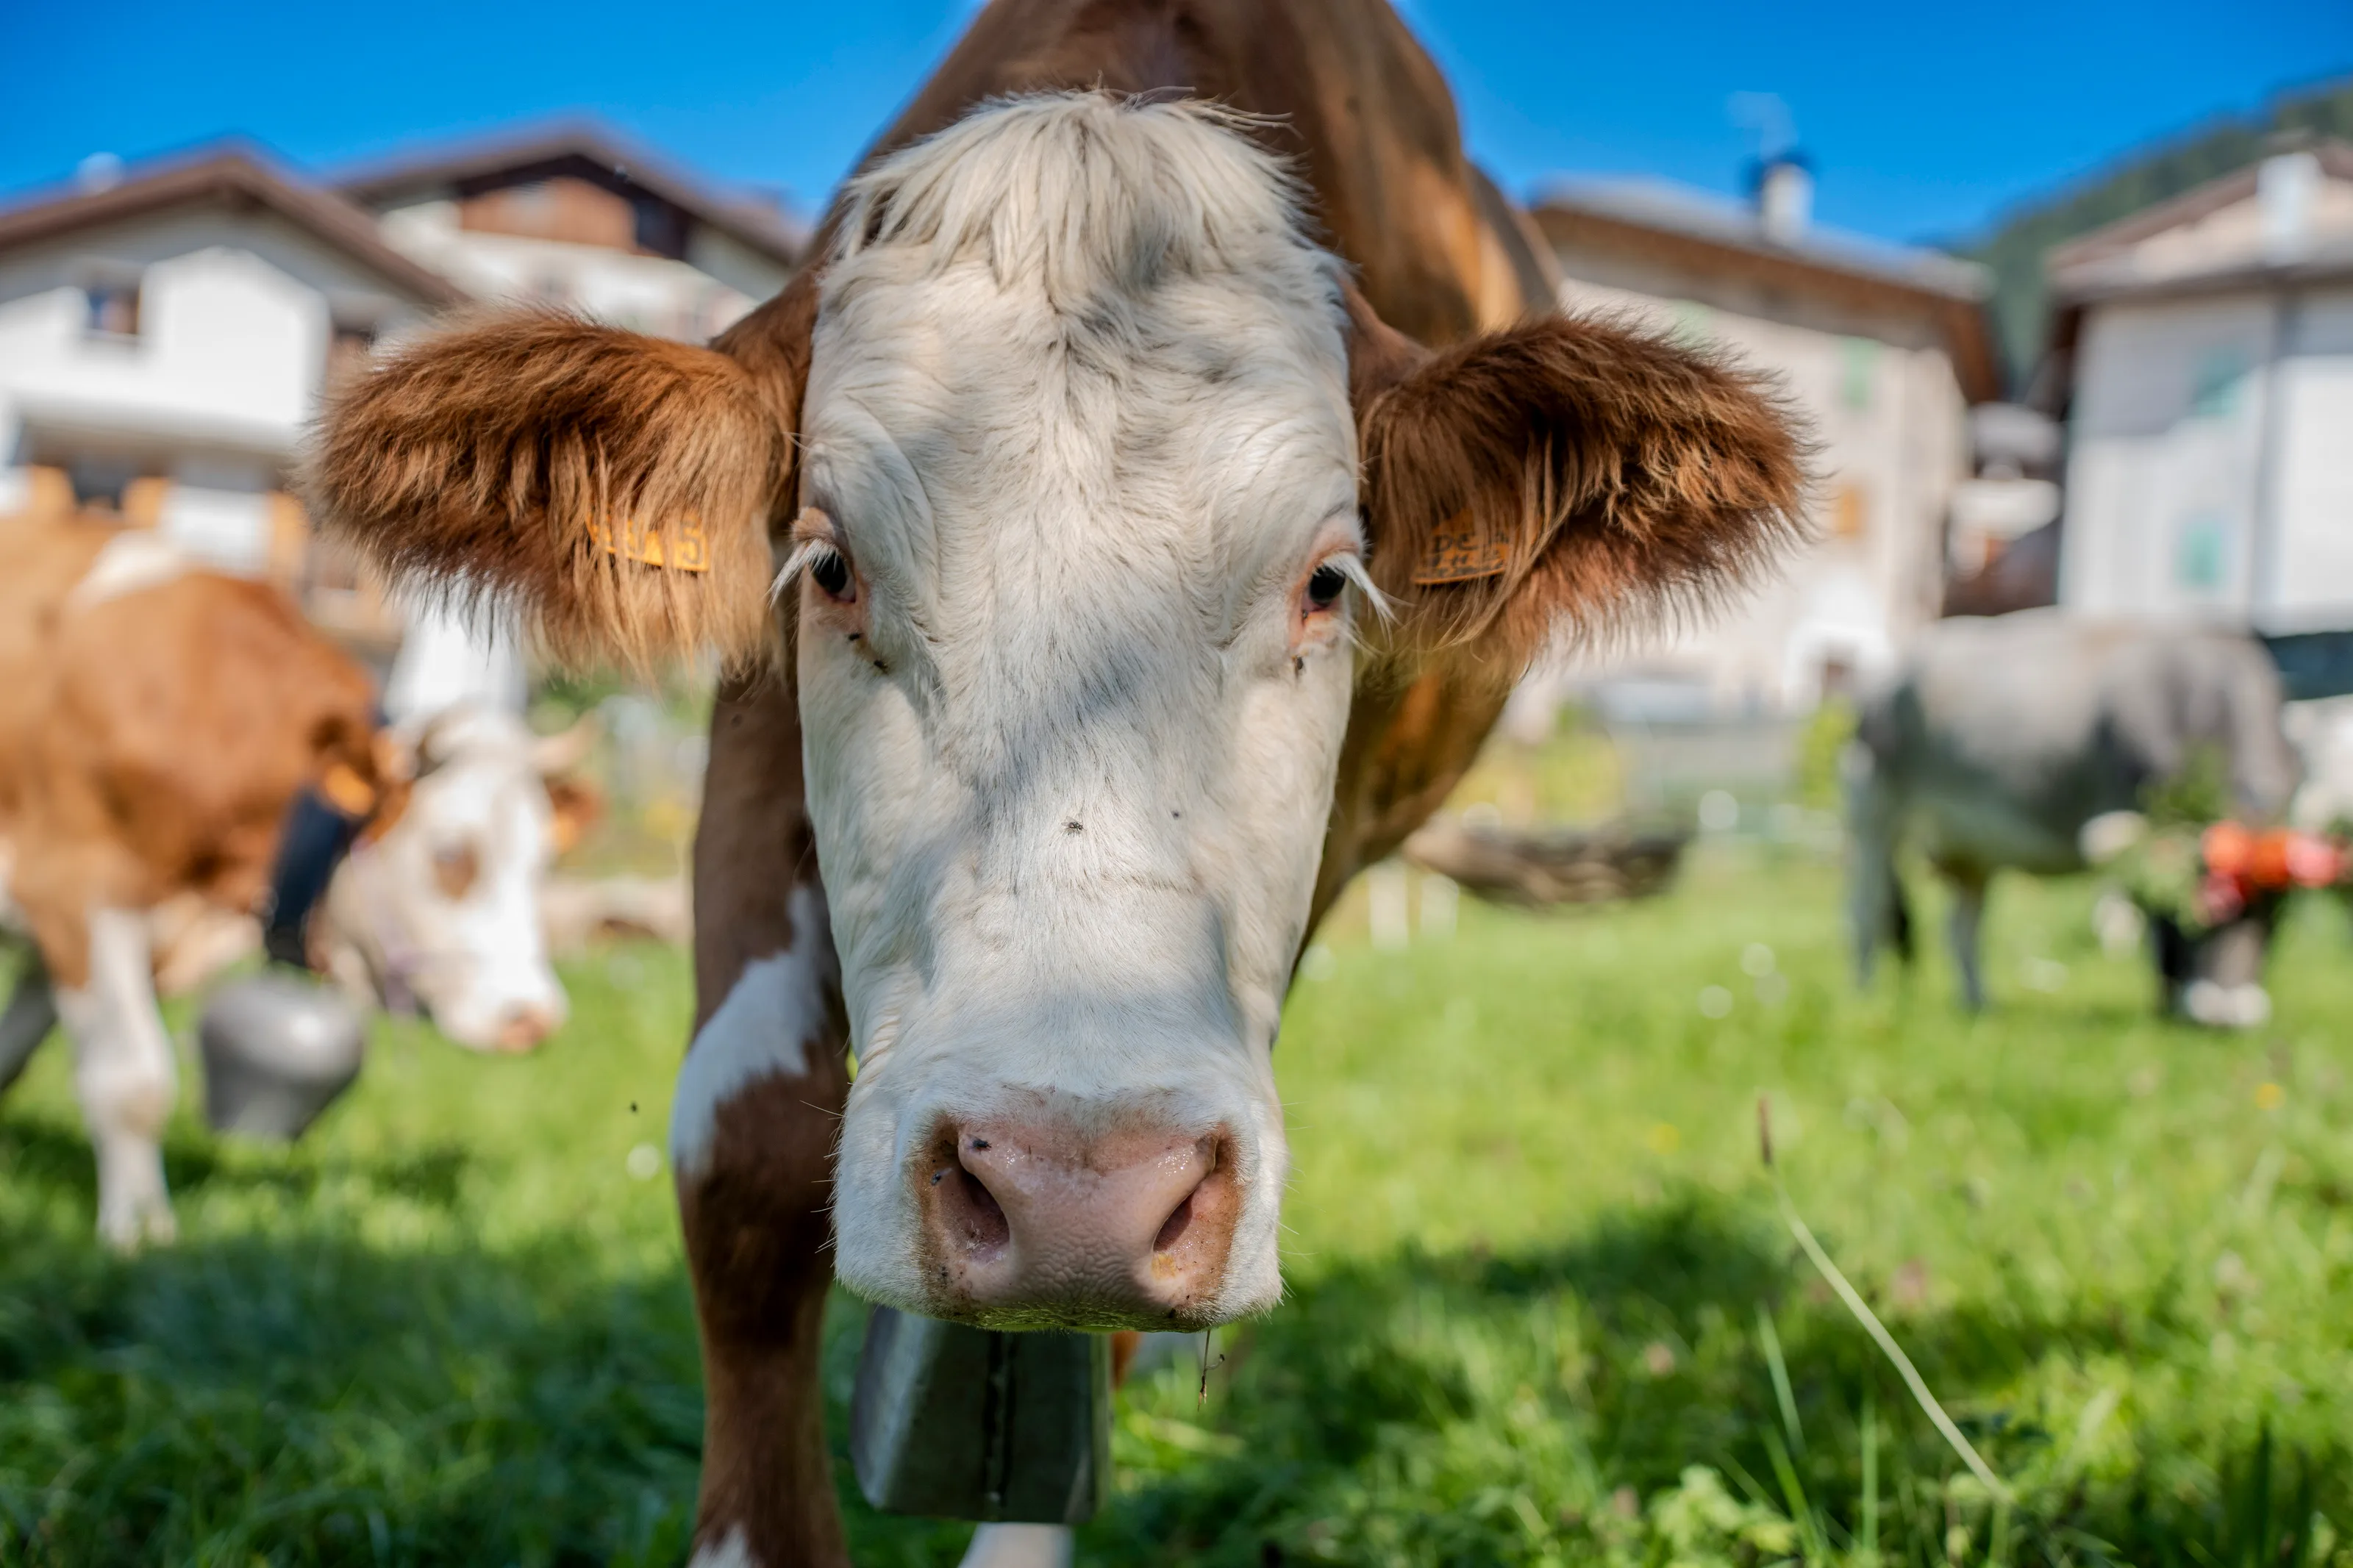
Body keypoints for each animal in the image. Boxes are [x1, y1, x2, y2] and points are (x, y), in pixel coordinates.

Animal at [305, 4, 1810, 1560]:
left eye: (1328, 581)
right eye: (831, 564)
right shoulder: (750, 738)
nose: (1070, 1190)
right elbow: (745, 1161)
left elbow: (1101, 1329)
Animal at [1848, 609, 2300, 1021]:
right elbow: (2141, 914)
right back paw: (1866, 997)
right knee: (1869, 908)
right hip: (1874, 812)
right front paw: (2166, 1003)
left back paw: (1979, 1004)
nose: (2228, 1013)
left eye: (2277, 914)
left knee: (1961, 926)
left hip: (1973, 847)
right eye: (2194, 907)